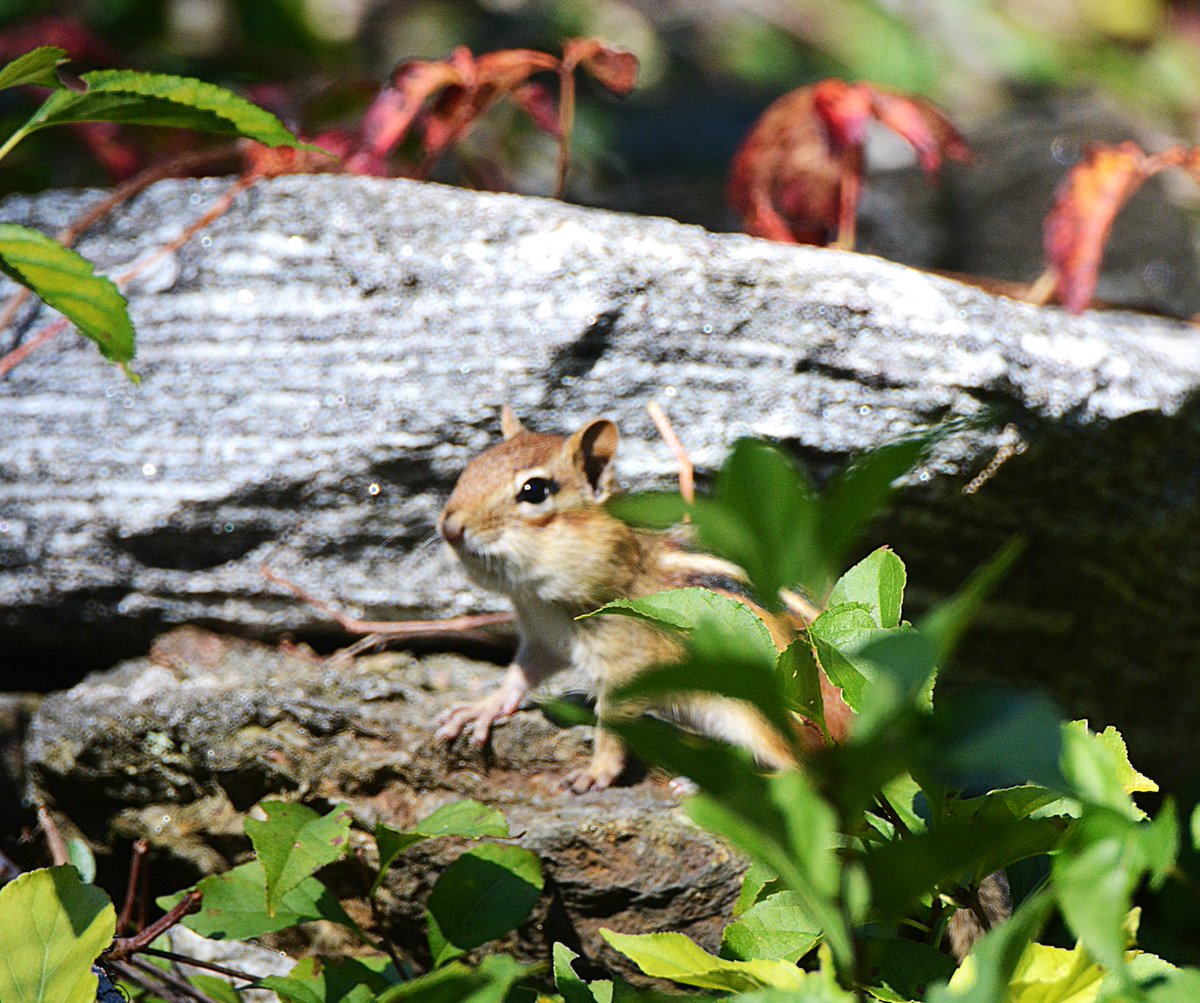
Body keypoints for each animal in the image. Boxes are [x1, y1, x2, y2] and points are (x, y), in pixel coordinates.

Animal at [433, 406, 853, 792]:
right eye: (471, 466)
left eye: (534, 490)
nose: (449, 527)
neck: (542, 600)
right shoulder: (545, 638)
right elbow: (520, 675)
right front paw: (482, 707)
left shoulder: (629, 665)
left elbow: (613, 725)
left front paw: (595, 772)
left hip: (762, 716)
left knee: (803, 778)